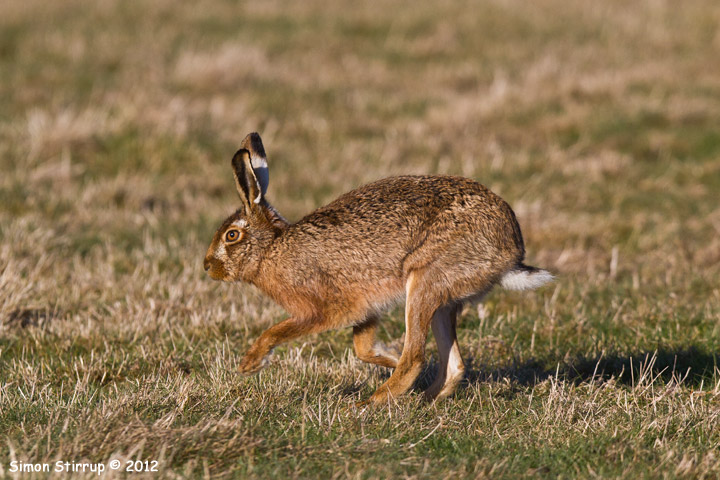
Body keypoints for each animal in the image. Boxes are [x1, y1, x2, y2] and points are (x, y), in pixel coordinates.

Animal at [204, 132, 553, 405]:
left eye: (232, 236)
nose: (208, 266)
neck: (271, 249)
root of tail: (510, 251)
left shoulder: (320, 310)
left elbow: (278, 330)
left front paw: (249, 364)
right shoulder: (365, 309)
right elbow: (362, 348)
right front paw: (387, 357)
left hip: (424, 282)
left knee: (416, 357)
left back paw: (370, 403)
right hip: (442, 300)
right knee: (453, 365)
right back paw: (421, 399)